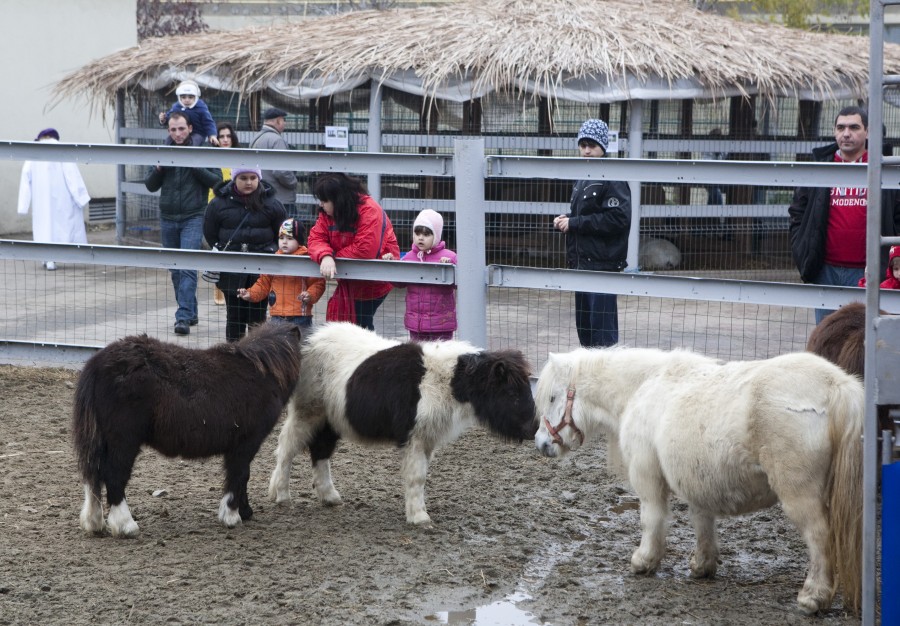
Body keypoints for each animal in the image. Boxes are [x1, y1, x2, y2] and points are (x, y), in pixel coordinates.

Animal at [71, 322, 302, 536]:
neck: (261, 372)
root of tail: (97, 363)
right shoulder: (245, 444)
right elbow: (239, 475)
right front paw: (232, 516)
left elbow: (242, 477)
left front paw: (244, 511)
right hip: (124, 441)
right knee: (114, 476)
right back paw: (126, 525)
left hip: (103, 439)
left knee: (94, 475)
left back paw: (94, 522)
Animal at [268, 322, 536, 520]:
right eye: (511, 393)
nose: (533, 429)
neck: (443, 380)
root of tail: (308, 340)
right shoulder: (414, 438)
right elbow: (416, 477)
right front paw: (419, 518)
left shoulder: (427, 440)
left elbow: (420, 477)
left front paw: (416, 512)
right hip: (307, 413)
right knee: (287, 449)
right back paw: (281, 495)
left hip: (329, 419)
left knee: (320, 452)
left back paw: (329, 497)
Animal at [536, 346, 864, 616]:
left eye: (552, 397)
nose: (541, 444)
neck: (642, 387)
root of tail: (835, 385)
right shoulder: (697, 481)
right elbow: (702, 522)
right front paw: (702, 566)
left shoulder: (647, 477)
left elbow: (651, 519)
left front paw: (644, 561)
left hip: (799, 495)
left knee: (820, 537)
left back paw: (813, 597)